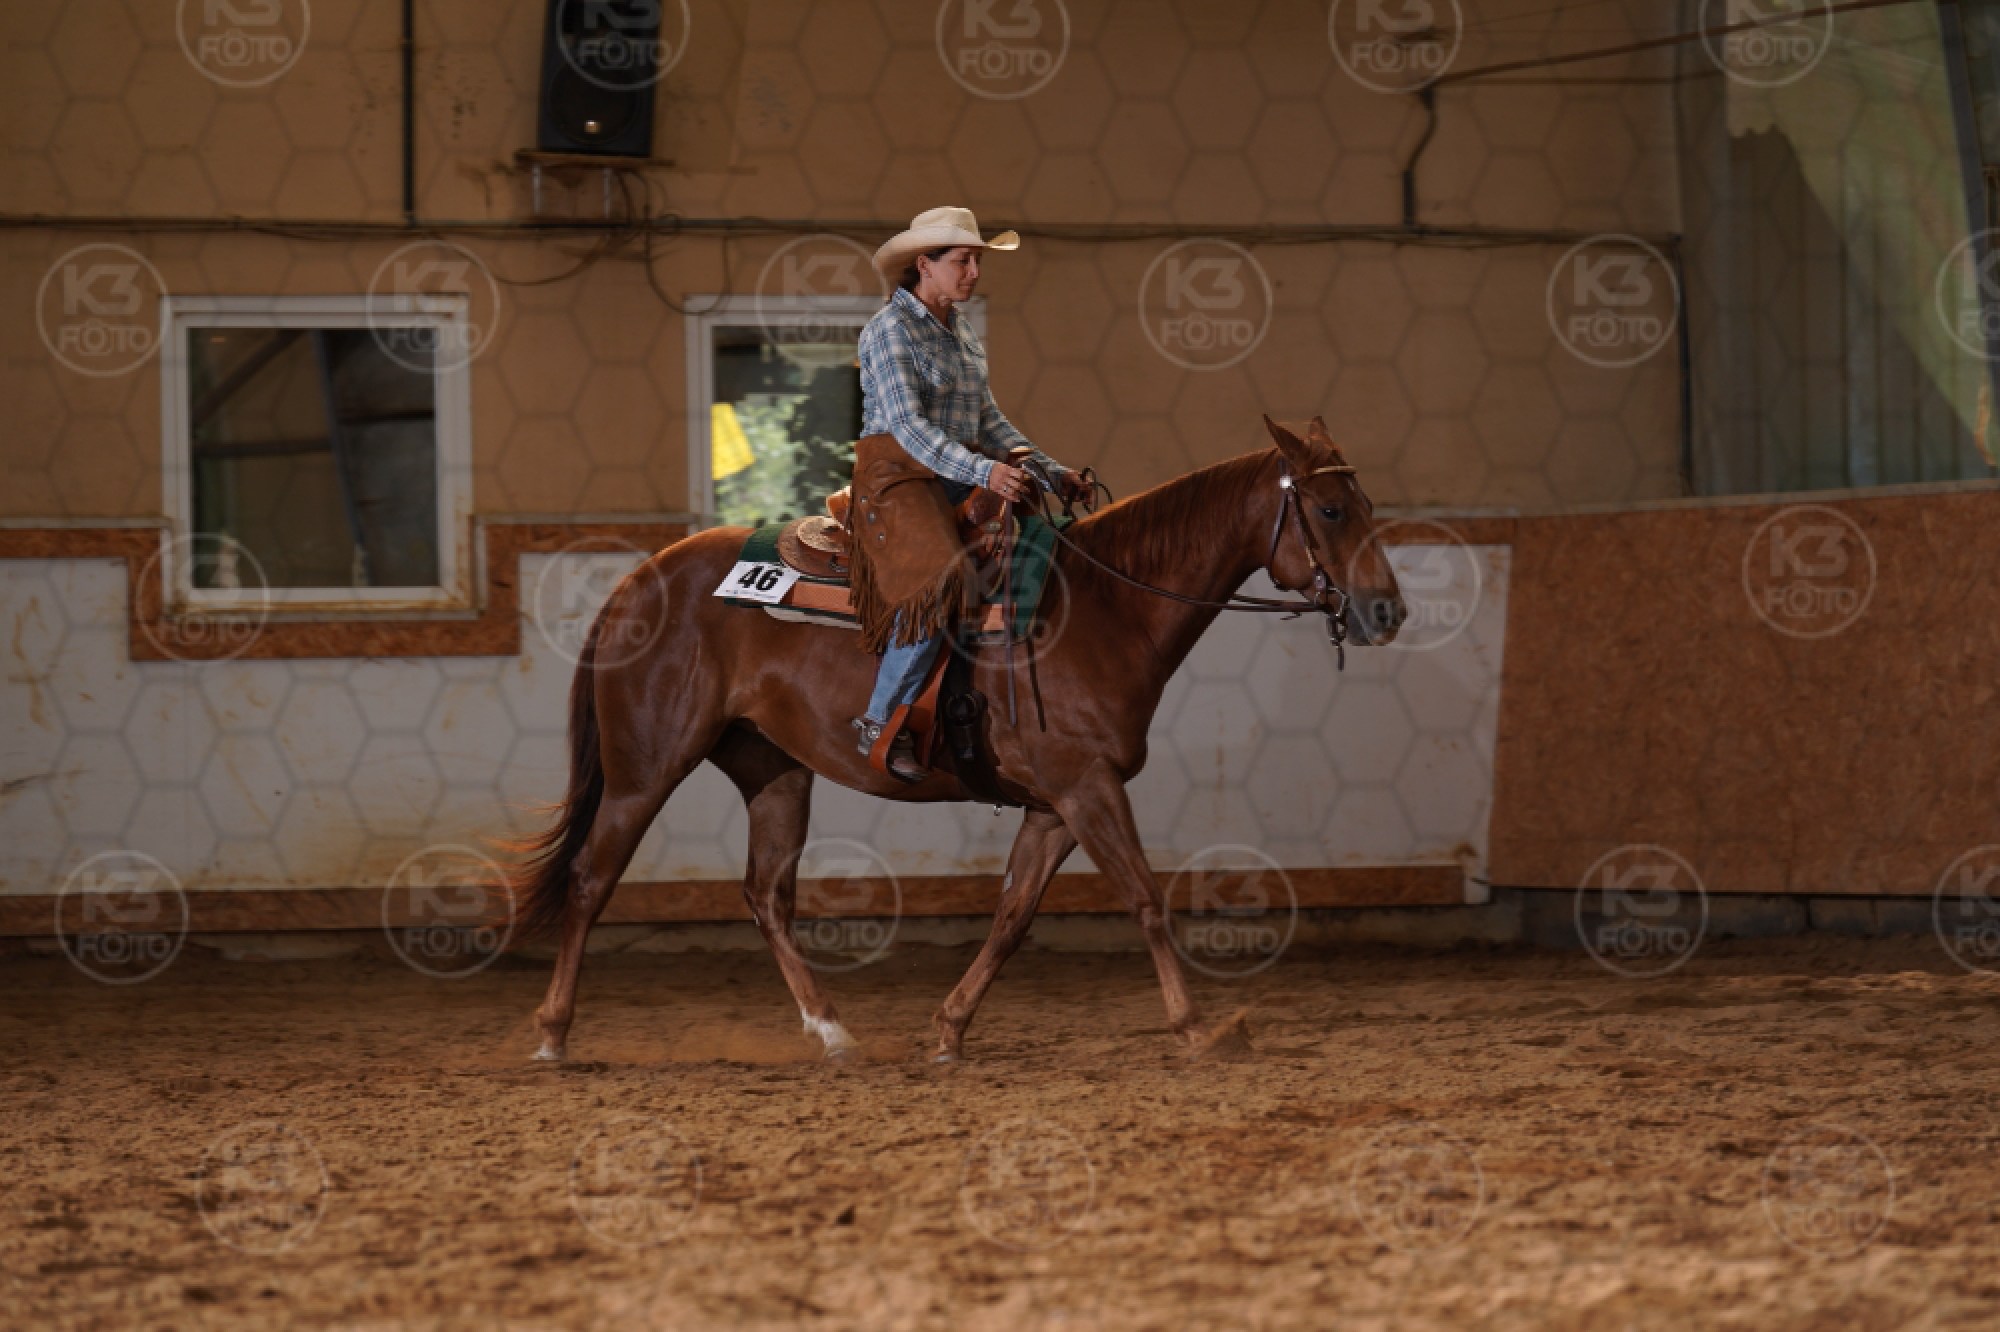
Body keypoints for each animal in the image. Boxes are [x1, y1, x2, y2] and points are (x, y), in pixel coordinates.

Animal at [510, 415, 1406, 1063]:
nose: (1387, 611)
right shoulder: (1087, 788)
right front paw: (1198, 1027)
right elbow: (1146, 898)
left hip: (775, 771)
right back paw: (553, 1032)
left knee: (768, 896)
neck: (1104, 609)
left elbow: (1012, 916)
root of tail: (638, 579)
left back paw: (832, 1030)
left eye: (1366, 506)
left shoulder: (1054, 805)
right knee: (591, 881)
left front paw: (948, 1028)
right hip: (646, 768)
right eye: (1331, 509)